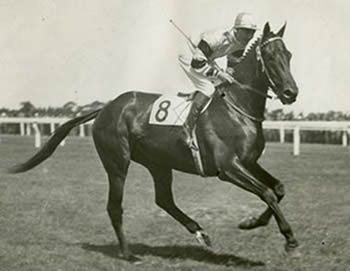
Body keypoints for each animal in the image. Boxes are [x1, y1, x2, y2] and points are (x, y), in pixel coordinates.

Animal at [7, 22, 298, 262]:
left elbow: (278, 189)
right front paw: (289, 239)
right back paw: (127, 253)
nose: (290, 93)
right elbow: (267, 192)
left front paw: (252, 222)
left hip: (158, 163)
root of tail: (105, 107)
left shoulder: (248, 162)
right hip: (117, 162)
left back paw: (199, 232)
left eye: (289, 55)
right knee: (115, 206)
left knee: (164, 200)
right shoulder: (228, 168)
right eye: (270, 56)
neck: (237, 108)